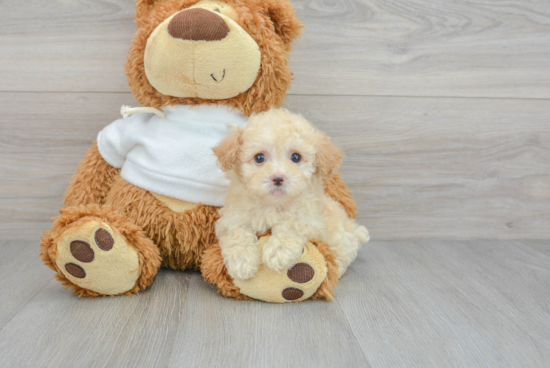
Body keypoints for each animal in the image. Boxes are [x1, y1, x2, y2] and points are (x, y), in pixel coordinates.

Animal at [213, 108, 368, 280]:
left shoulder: (311, 220)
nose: (278, 178)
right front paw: (241, 261)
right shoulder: (232, 217)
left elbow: (291, 225)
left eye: (296, 157)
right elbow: (236, 232)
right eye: (259, 158)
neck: (273, 205)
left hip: (342, 239)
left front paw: (277, 251)